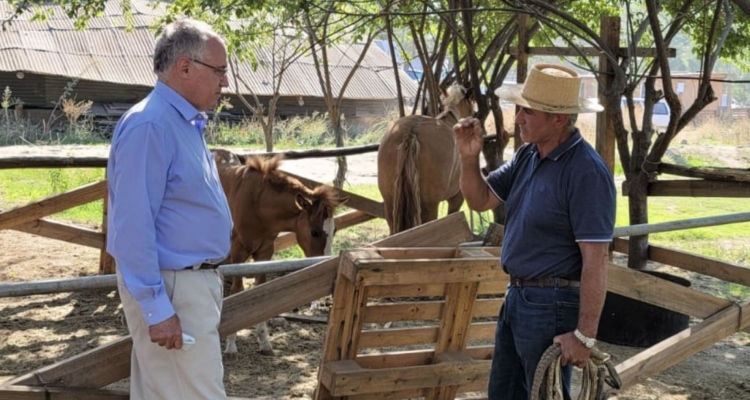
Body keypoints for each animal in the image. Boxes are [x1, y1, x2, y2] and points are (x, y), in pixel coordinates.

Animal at [213, 148, 348, 354]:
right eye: (314, 232)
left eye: (335, 230)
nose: (323, 262)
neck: (257, 204)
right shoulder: (238, 253)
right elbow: (238, 290)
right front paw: (230, 345)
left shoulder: (264, 253)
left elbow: (260, 291)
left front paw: (264, 342)